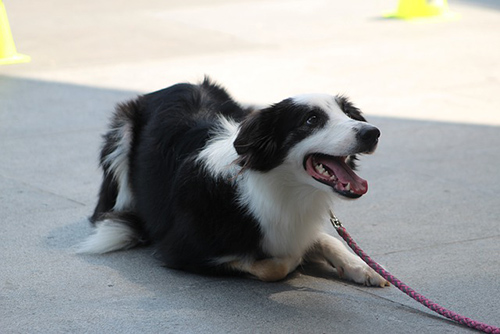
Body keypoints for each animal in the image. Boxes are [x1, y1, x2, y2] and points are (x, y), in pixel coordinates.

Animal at [80, 77, 388, 288]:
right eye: (311, 120)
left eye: (347, 114)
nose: (373, 132)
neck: (278, 189)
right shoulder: (180, 249)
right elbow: (273, 266)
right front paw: (292, 259)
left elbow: (324, 238)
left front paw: (364, 267)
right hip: (121, 132)